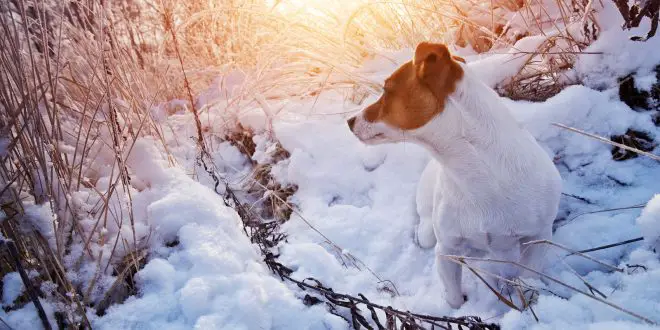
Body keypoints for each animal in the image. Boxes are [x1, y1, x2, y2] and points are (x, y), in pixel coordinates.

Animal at [348, 42, 560, 308]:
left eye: (386, 90)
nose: (349, 121)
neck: (475, 173)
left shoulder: (540, 239)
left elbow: (529, 279)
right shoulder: (447, 251)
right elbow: (453, 296)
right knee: (425, 231)